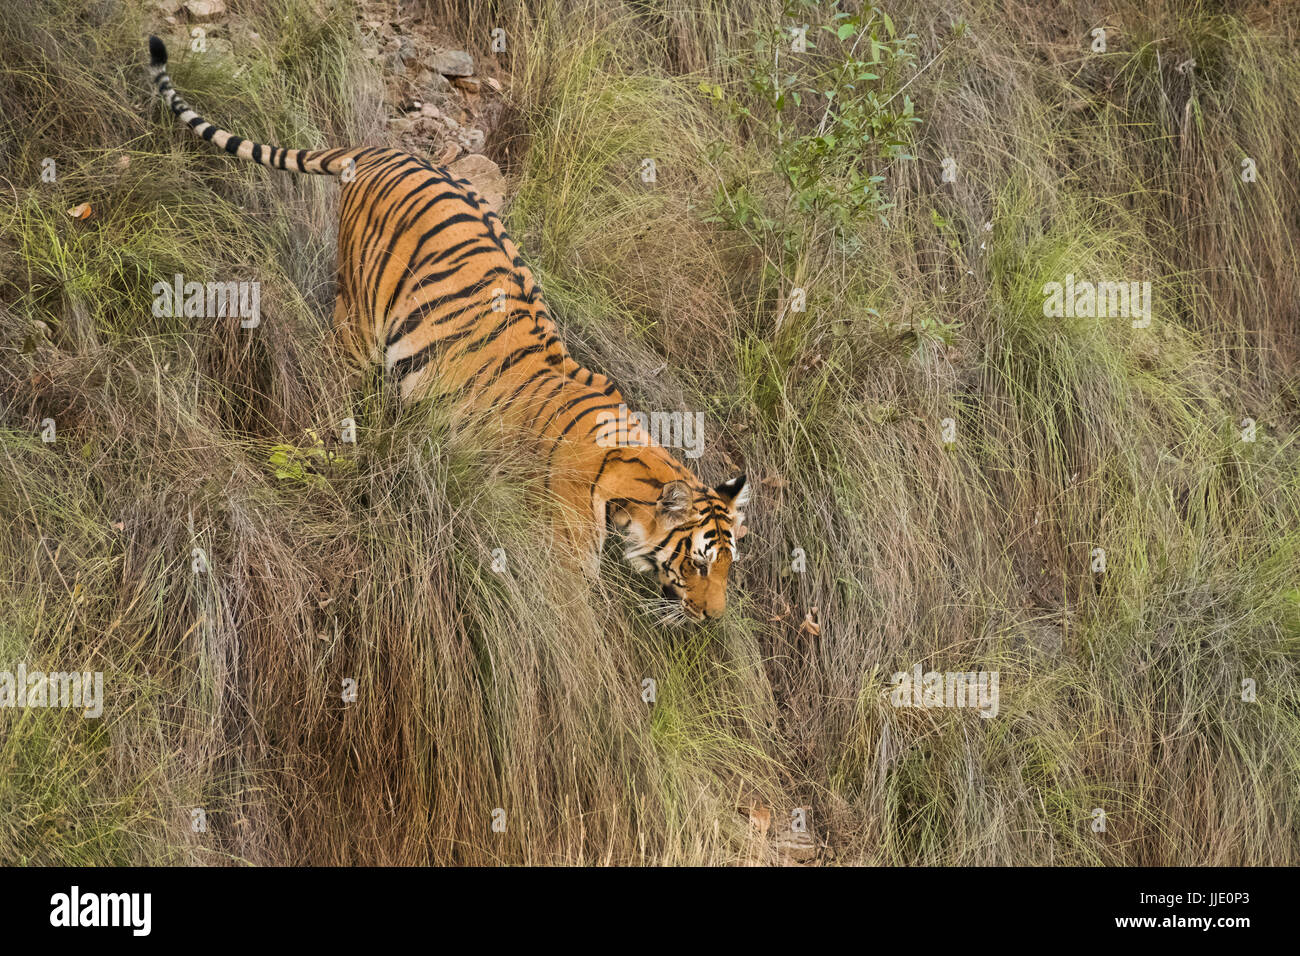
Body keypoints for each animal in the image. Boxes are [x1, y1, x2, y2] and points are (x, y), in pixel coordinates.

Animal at [146, 35, 748, 621]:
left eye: (727, 566)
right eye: (698, 563)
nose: (715, 618)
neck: (624, 480)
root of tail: (383, 150)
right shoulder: (562, 558)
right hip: (359, 319)